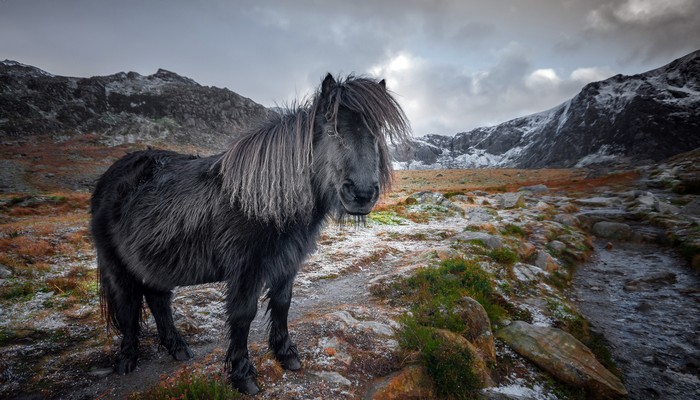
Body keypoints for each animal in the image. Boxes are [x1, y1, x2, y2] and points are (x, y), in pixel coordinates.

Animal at [91, 72, 412, 394]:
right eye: (332, 129)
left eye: (377, 133)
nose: (362, 193)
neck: (263, 198)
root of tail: (109, 176)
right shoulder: (247, 269)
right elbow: (243, 316)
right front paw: (242, 374)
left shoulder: (287, 262)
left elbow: (282, 303)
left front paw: (286, 353)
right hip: (117, 266)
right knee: (129, 307)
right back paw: (127, 360)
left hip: (154, 263)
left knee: (158, 301)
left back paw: (178, 348)